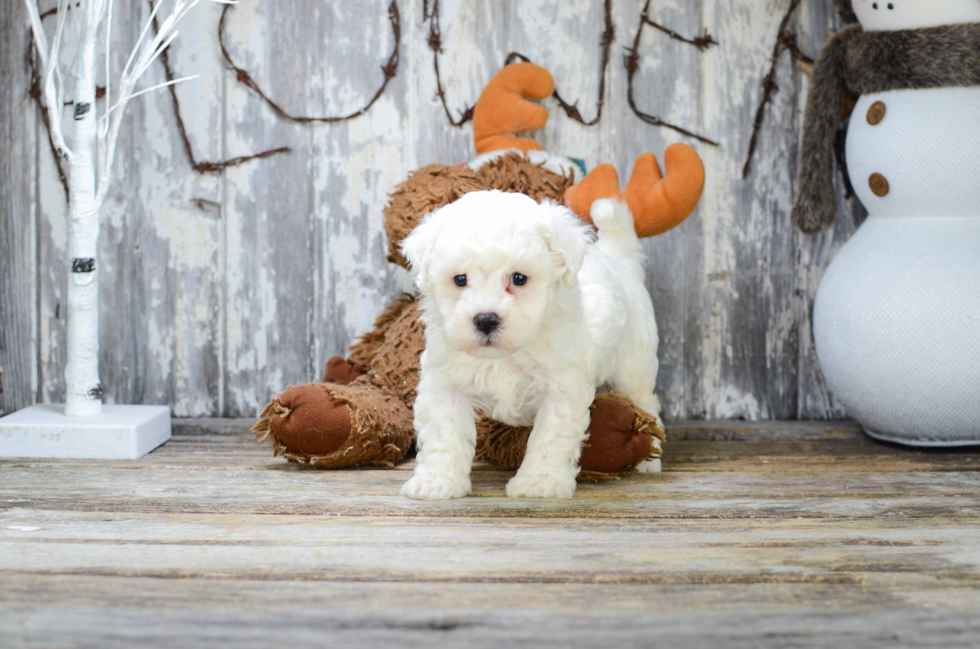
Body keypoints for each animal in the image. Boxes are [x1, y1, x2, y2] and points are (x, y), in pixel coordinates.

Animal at [402, 190, 664, 498]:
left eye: (519, 278)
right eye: (460, 279)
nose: (486, 319)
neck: (505, 355)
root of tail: (619, 260)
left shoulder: (562, 387)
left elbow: (550, 437)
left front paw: (540, 483)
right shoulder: (444, 382)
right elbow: (444, 434)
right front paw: (438, 482)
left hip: (633, 364)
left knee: (645, 401)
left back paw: (649, 457)